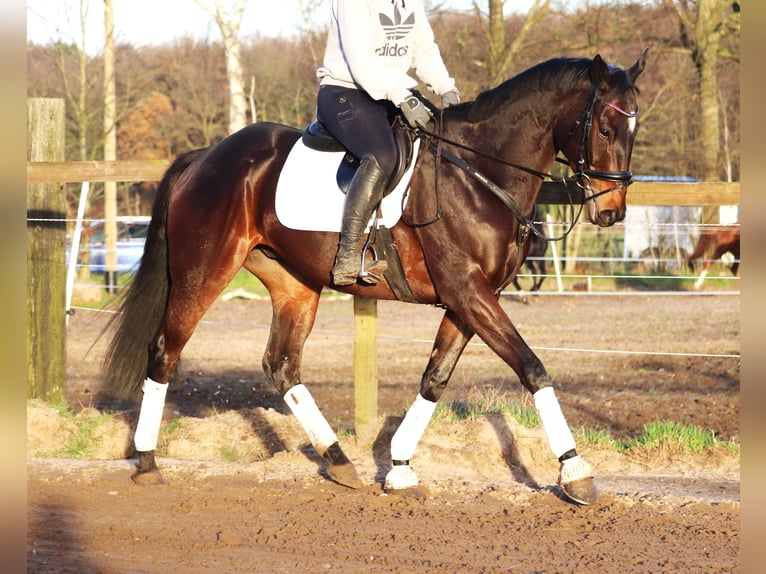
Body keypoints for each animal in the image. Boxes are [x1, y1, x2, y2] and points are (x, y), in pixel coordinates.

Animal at [103, 51, 648, 506]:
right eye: (604, 128)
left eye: (634, 128)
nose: (612, 212)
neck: (480, 173)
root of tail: (207, 155)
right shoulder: (469, 292)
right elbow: (532, 368)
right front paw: (575, 472)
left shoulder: (468, 300)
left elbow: (434, 378)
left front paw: (400, 467)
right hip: (203, 272)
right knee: (165, 350)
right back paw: (147, 462)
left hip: (294, 285)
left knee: (281, 365)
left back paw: (339, 461)